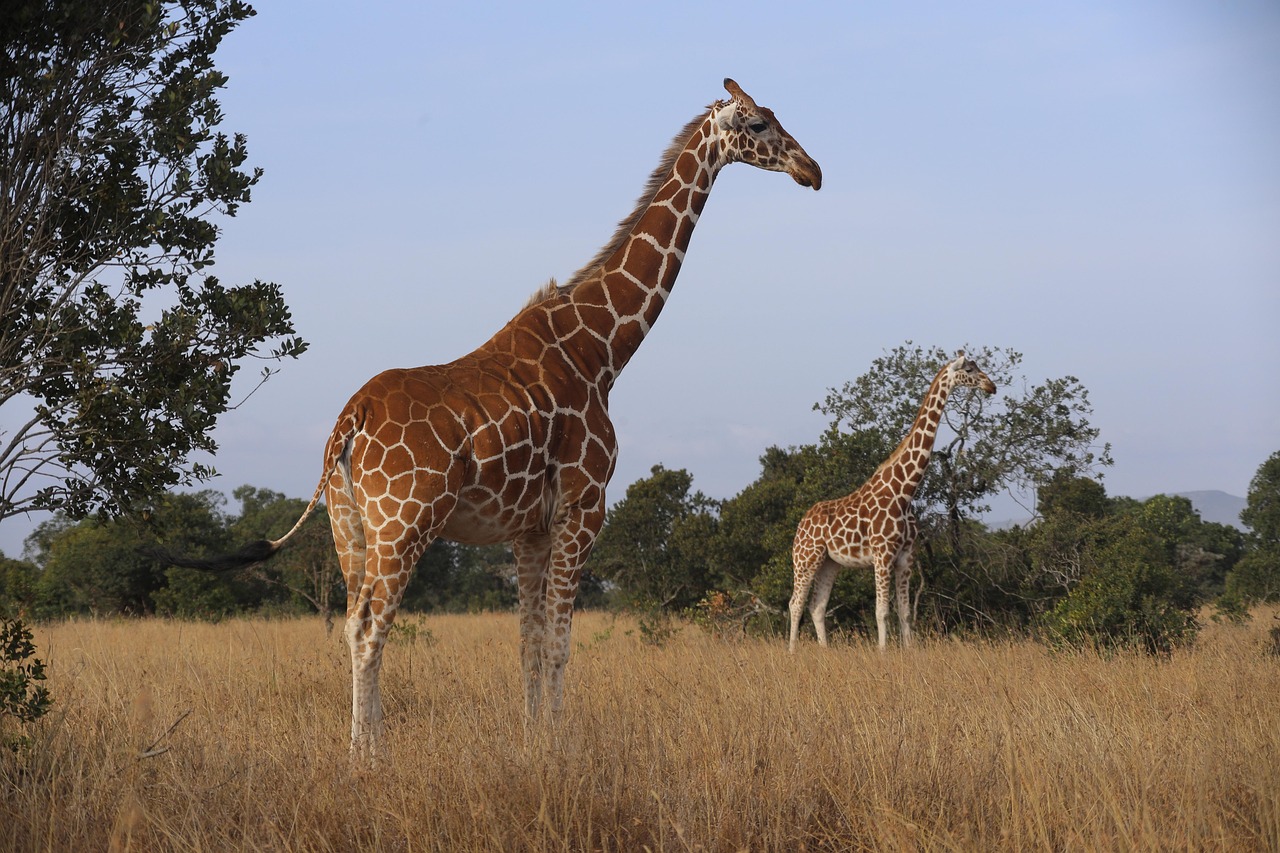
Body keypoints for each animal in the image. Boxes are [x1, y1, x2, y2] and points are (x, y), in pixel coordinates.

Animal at [164, 79, 820, 759]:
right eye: (759, 122)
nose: (812, 170)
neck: (602, 351)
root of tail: (351, 419)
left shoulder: (529, 527)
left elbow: (528, 644)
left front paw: (534, 740)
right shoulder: (585, 506)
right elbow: (558, 644)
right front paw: (559, 747)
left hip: (348, 525)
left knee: (349, 623)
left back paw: (361, 749)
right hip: (403, 523)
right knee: (372, 627)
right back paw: (369, 757)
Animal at [788, 352, 996, 653]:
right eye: (969, 369)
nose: (991, 386)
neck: (904, 491)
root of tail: (802, 523)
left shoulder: (906, 557)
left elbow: (906, 612)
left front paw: (909, 652)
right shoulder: (882, 554)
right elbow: (882, 611)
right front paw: (883, 652)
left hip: (830, 562)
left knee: (817, 606)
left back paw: (825, 652)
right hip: (806, 558)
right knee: (795, 603)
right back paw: (792, 652)